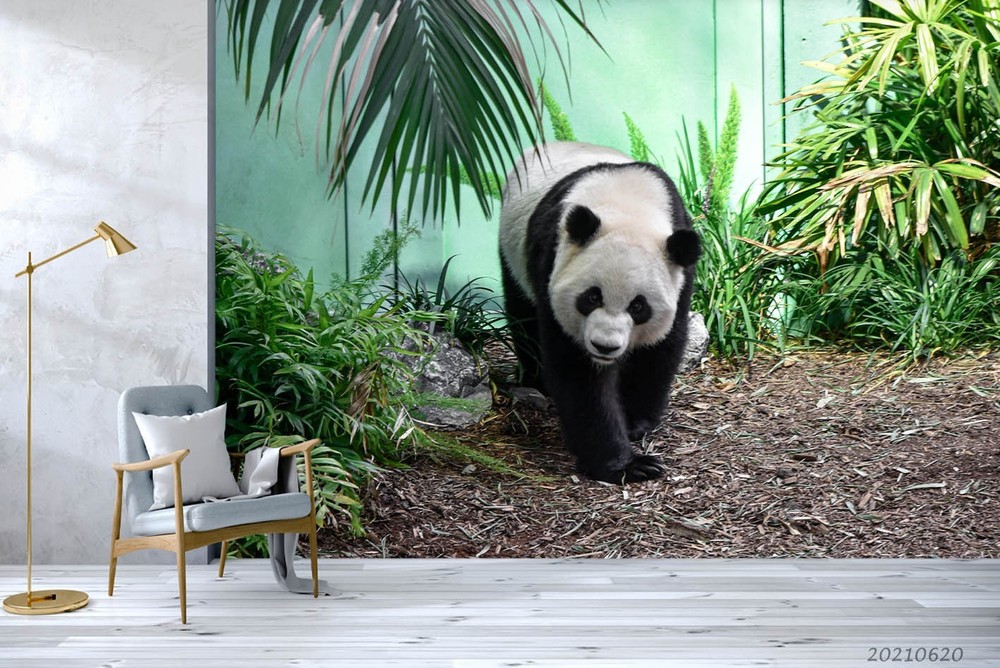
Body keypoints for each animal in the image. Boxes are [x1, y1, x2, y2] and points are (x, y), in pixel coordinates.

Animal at [499, 141, 700, 484]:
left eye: (638, 306)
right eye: (592, 297)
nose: (605, 346)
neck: (629, 207)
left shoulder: (679, 274)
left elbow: (659, 349)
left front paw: (635, 422)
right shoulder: (552, 261)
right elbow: (578, 373)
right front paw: (628, 465)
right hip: (511, 252)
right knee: (523, 315)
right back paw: (535, 378)